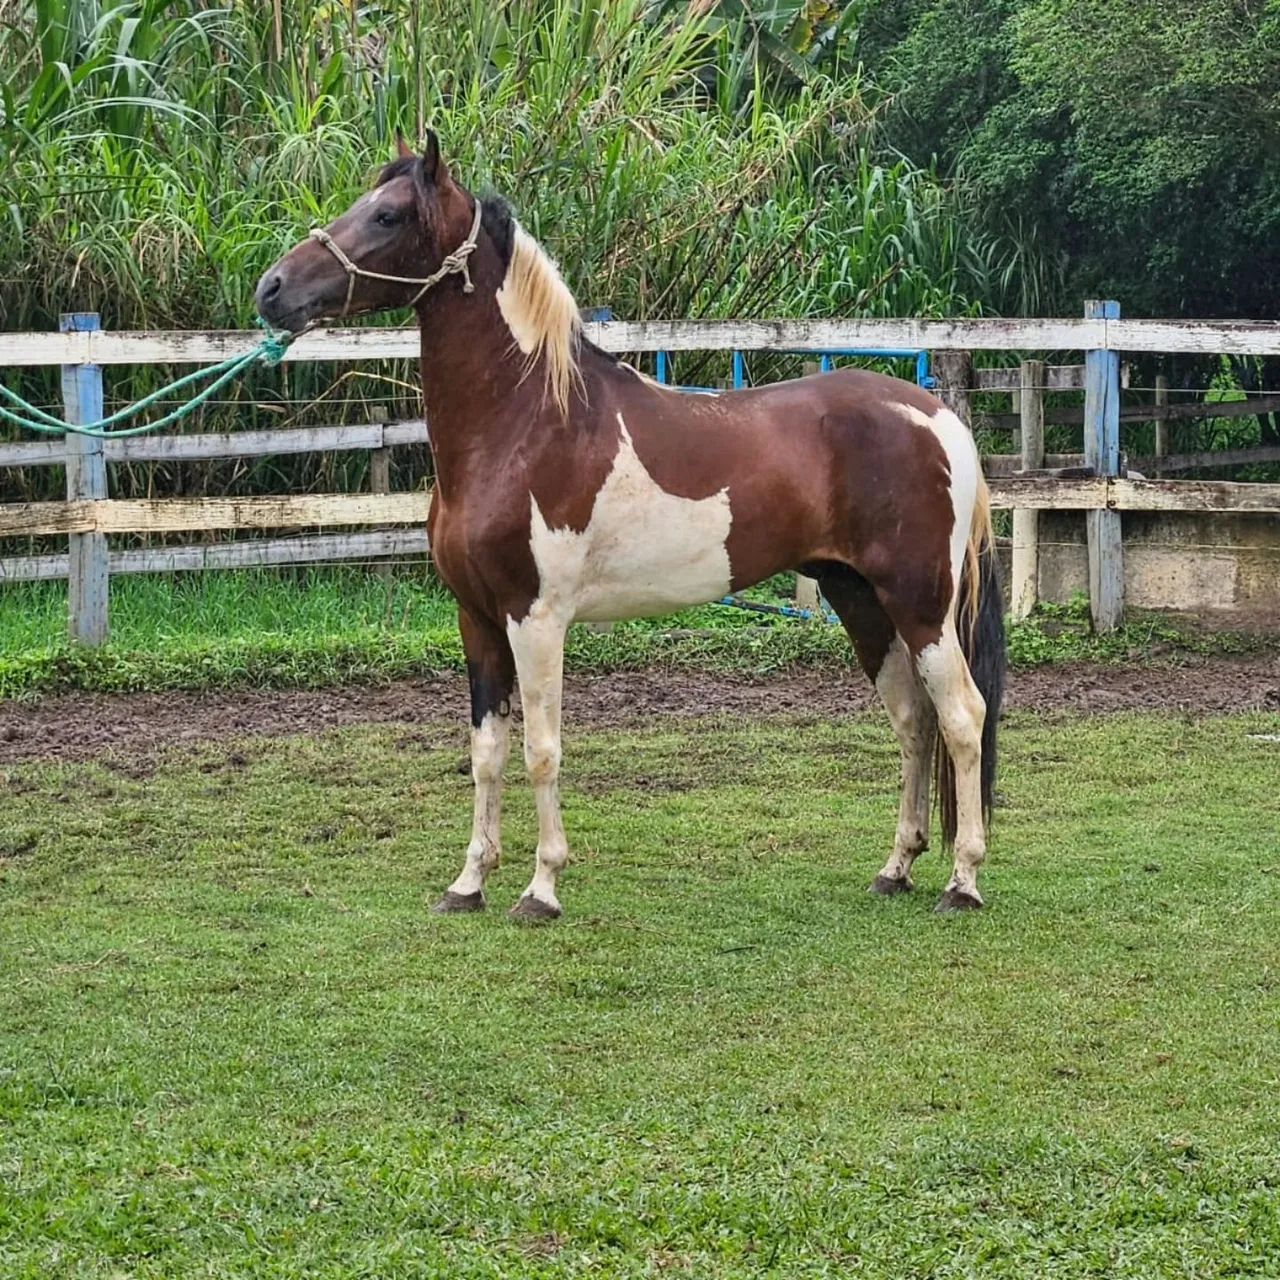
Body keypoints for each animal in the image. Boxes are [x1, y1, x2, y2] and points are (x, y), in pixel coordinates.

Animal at [255, 135, 1007, 922]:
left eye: (390, 214)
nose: (271, 289)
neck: (527, 422)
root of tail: (940, 417)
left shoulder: (536, 619)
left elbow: (542, 750)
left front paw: (542, 889)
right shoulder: (477, 619)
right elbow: (487, 753)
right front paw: (468, 883)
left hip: (921, 605)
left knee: (962, 716)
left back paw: (962, 880)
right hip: (860, 599)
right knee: (913, 720)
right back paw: (897, 867)